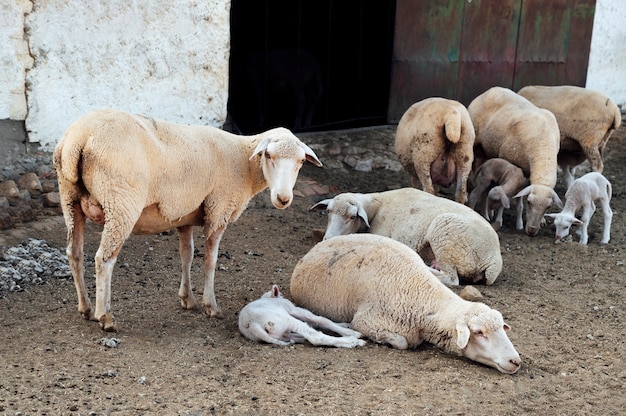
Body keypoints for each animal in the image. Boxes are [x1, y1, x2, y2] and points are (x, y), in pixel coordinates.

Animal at [52, 108, 322, 332]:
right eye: (268, 155)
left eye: (300, 162)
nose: (283, 199)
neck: (244, 163)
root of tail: (79, 137)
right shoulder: (218, 209)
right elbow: (210, 260)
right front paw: (210, 305)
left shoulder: (186, 214)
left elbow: (187, 255)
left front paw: (187, 299)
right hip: (121, 202)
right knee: (104, 258)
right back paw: (105, 316)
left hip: (69, 199)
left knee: (74, 253)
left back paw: (86, 308)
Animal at [288, 234, 520, 374]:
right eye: (479, 333)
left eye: (503, 328)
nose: (515, 361)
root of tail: (316, 247)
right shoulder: (366, 320)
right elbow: (402, 342)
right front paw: (385, 341)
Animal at [308, 188, 502, 286]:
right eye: (328, 212)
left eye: (352, 216)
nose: (328, 239)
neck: (377, 205)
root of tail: (494, 259)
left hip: (444, 232)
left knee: (452, 279)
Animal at [466, 87, 564, 237]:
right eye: (529, 202)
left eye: (548, 207)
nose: (531, 231)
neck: (543, 145)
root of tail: (491, 90)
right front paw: (501, 219)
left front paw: (540, 222)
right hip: (474, 140)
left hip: (486, 150)